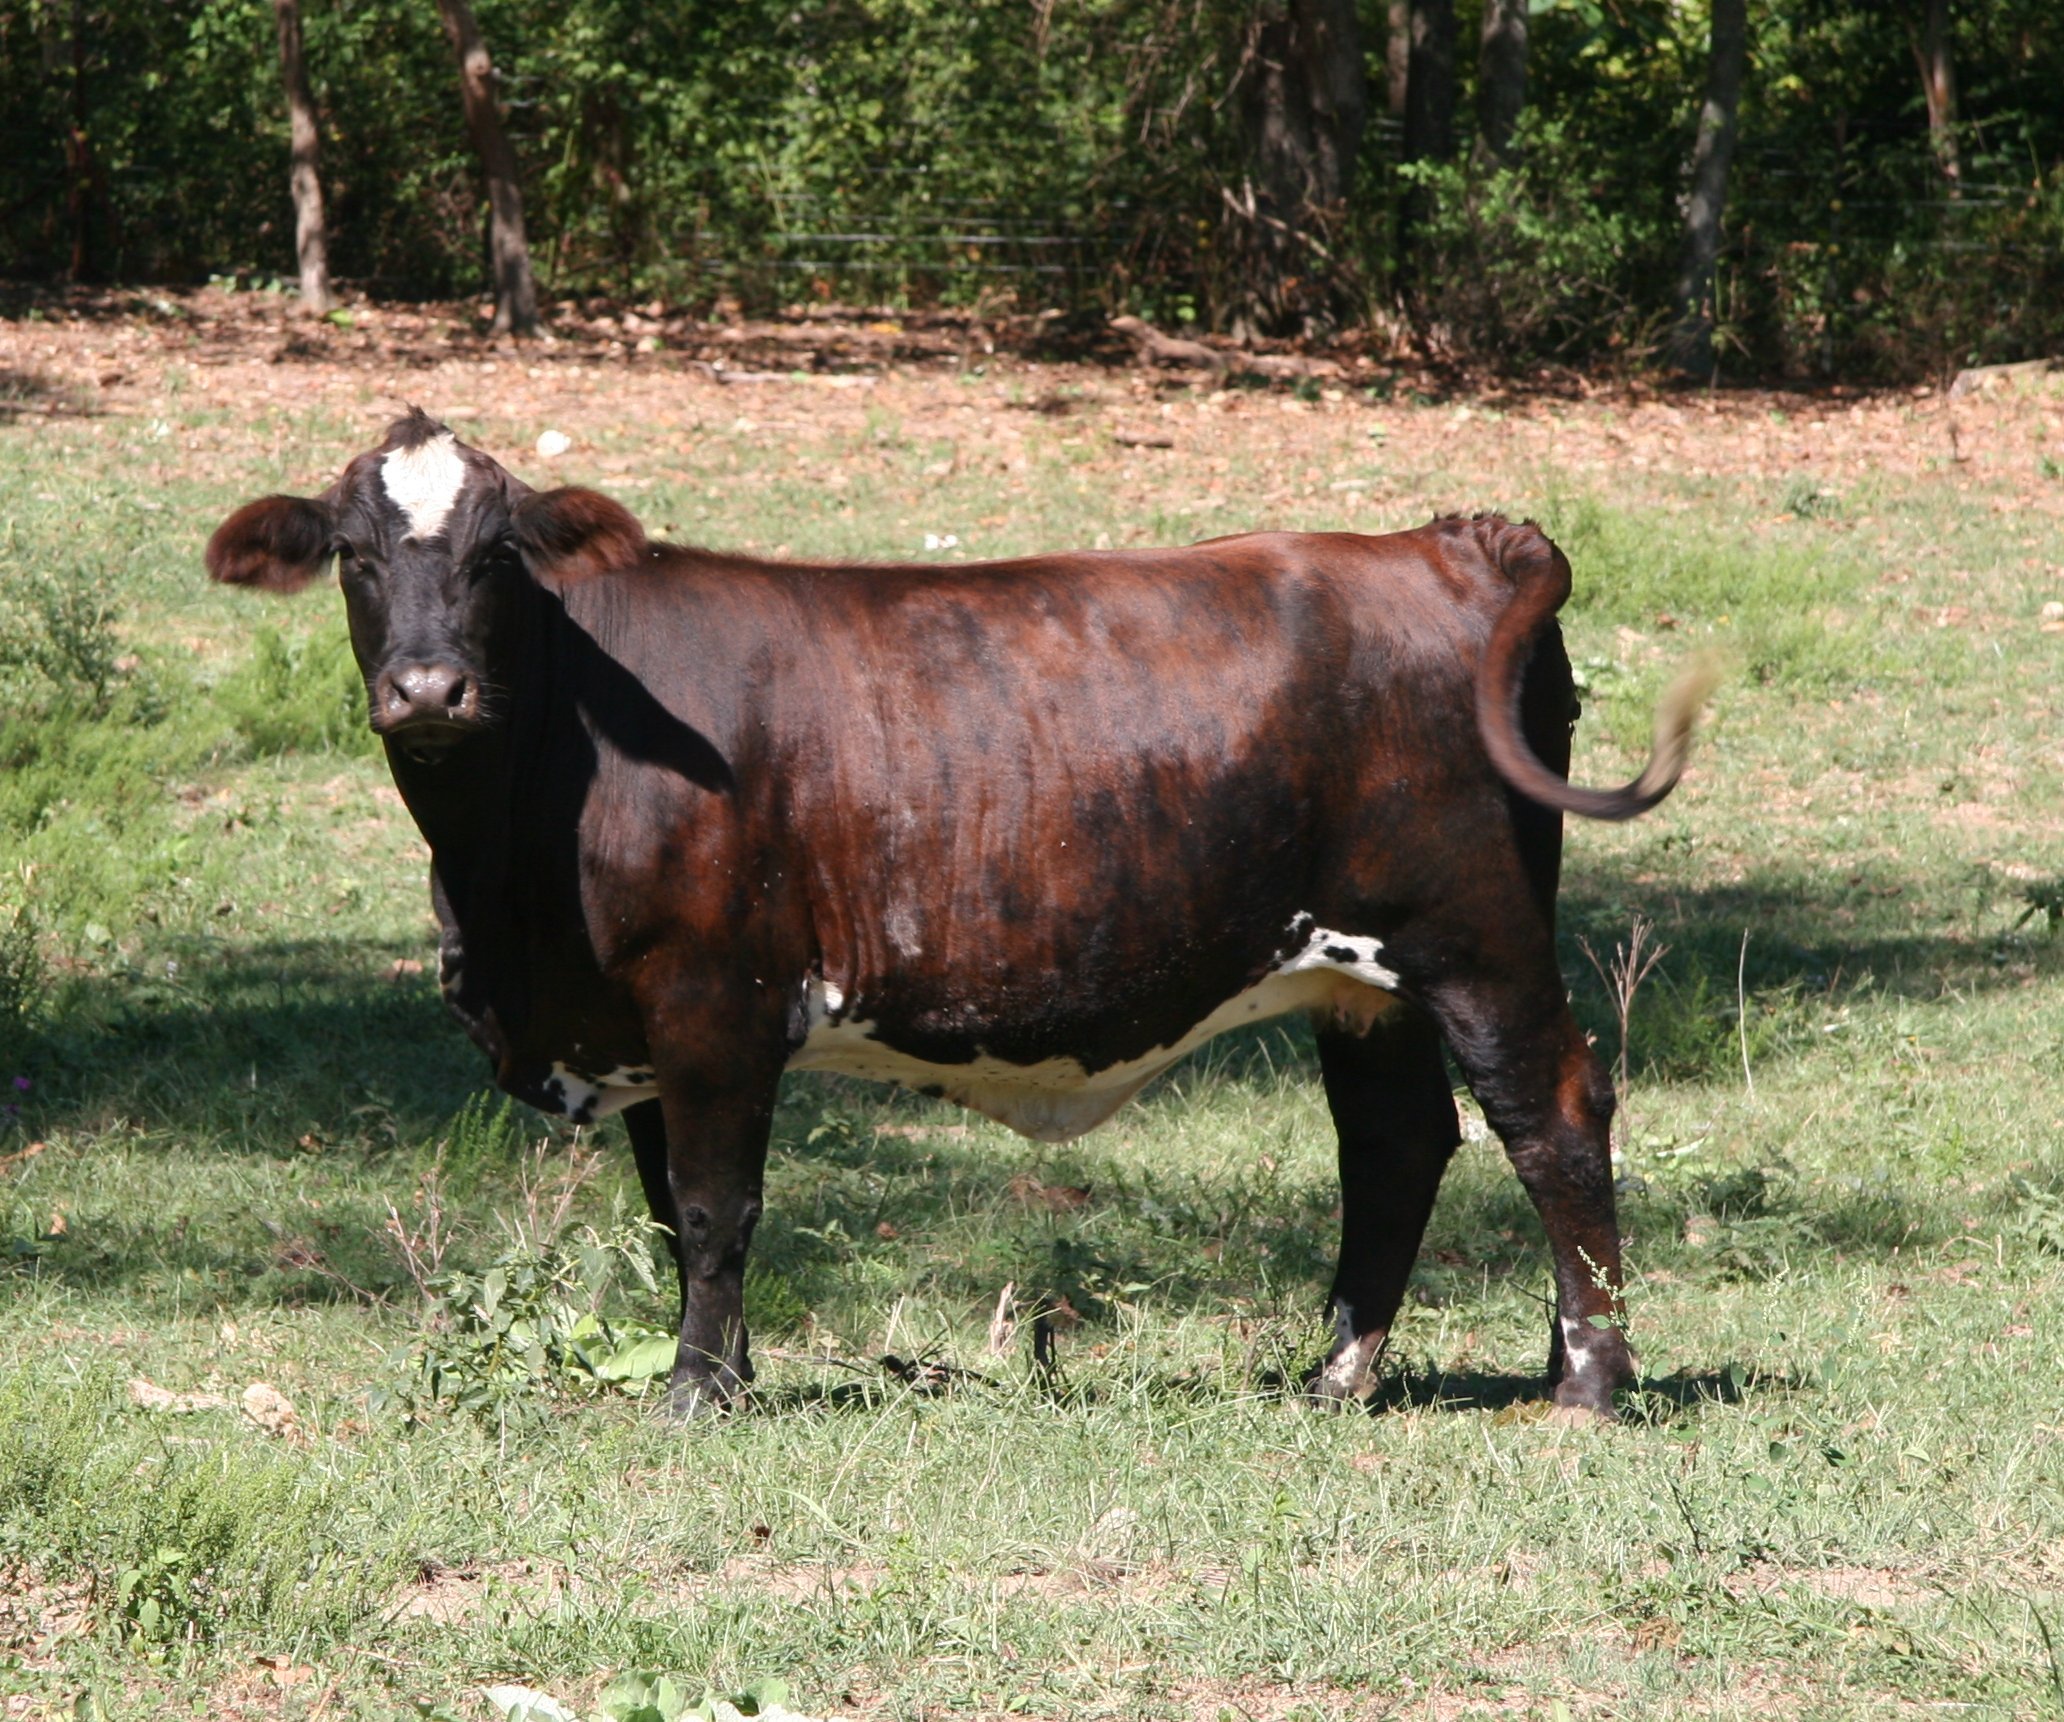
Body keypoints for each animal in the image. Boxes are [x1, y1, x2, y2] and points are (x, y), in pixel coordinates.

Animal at [206, 410, 1710, 1419]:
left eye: (499, 554)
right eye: (353, 555)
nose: (429, 688)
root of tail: (1445, 544)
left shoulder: (714, 1001)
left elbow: (713, 1202)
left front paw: (698, 1393)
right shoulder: (634, 1021)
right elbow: (669, 1211)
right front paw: (725, 1369)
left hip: (1475, 937)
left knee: (1552, 1115)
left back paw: (1588, 1381)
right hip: (1358, 978)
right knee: (1395, 1146)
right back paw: (1334, 1375)